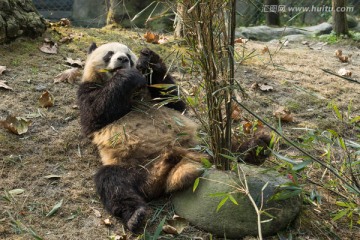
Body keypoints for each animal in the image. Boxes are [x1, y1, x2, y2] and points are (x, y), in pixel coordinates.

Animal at [77, 42, 207, 232]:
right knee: (113, 183)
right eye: (110, 53)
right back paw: (135, 216)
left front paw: (150, 60)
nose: (122, 59)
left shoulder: (157, 95)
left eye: (129, 56)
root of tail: (159, 176)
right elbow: (94, 114)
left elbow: (174, 102)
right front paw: (128, 76)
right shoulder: (87, 90)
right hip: (132, 168)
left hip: (194, 148)